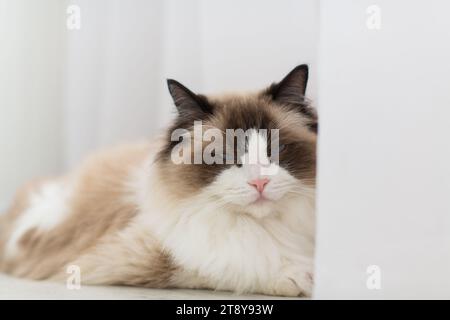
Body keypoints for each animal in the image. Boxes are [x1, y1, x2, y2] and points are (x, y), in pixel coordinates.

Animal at [0, 65, 316, 298]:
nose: (260, 183)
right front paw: (298, 277)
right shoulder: (134, 258)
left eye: (276, 150)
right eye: (225, 155)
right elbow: (230, 264)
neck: (268, 227)